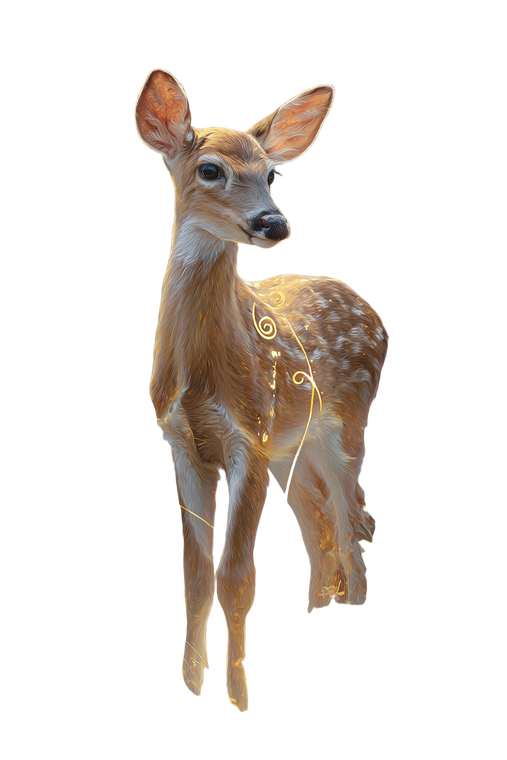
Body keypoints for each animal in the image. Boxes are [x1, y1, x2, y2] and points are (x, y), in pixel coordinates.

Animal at [133, 68, 389, 713]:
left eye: (271, 175)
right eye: (210, 170)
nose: (274, 223)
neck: (200, 375)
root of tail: (370, 311)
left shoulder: (249, 432)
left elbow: (236, 576)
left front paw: (237, 694)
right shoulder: (183, 444)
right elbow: (197, 575)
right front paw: (192, 684)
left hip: (346, 421)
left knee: (351, 516)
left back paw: (351, 607)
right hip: (293, 447)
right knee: (318, 518)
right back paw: (319, 608)